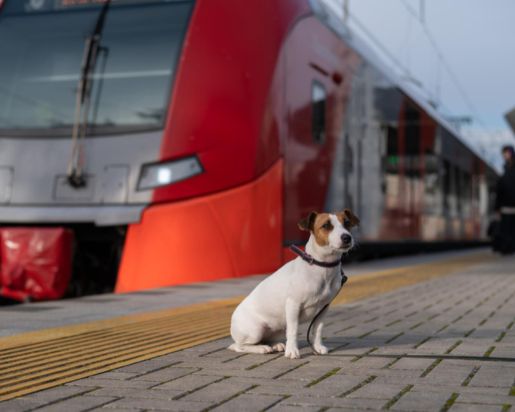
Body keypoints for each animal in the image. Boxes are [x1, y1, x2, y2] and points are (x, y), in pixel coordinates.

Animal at [229, 209, 358, 358]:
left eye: (347, 223)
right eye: (326, 225)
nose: (347, 237)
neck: (322, 267)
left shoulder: (323, 308)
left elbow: (317, 330)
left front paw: (317, 347)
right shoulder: (293, 305)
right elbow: (293, 330)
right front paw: (292, 351)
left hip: (277, 328)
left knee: (264, 339)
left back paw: (274, 345)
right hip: (255, 330)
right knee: (239, 346)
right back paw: (262, 348)